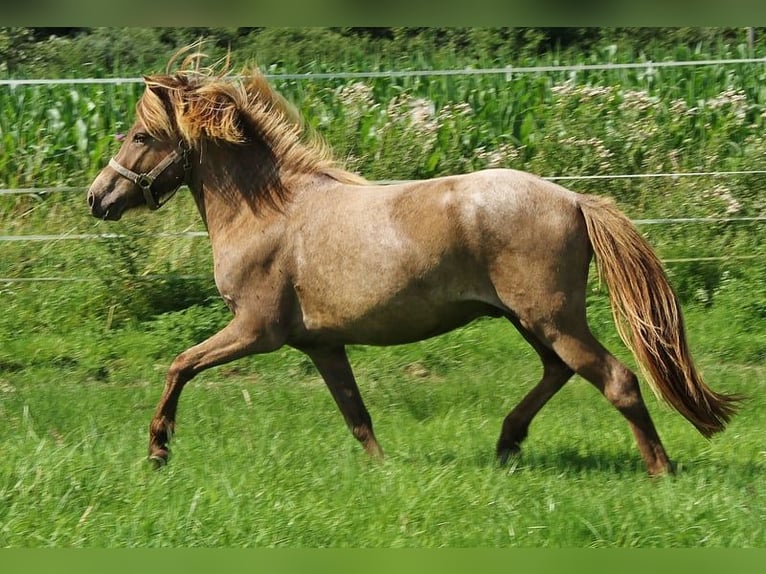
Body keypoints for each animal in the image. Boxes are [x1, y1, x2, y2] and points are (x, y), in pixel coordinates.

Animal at [87, 55, 740, 476]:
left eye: (140, 135)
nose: (98, 198)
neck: (270, 212)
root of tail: (575, 200)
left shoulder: (255, 330)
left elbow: (179, 365)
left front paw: (158, 450)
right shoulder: (322, 344)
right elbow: (356, 414)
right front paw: (384, 473)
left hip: (551, 318)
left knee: (617, 379)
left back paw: (660, 470)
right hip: (530, 320)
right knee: (559, 371)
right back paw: (506, 444)